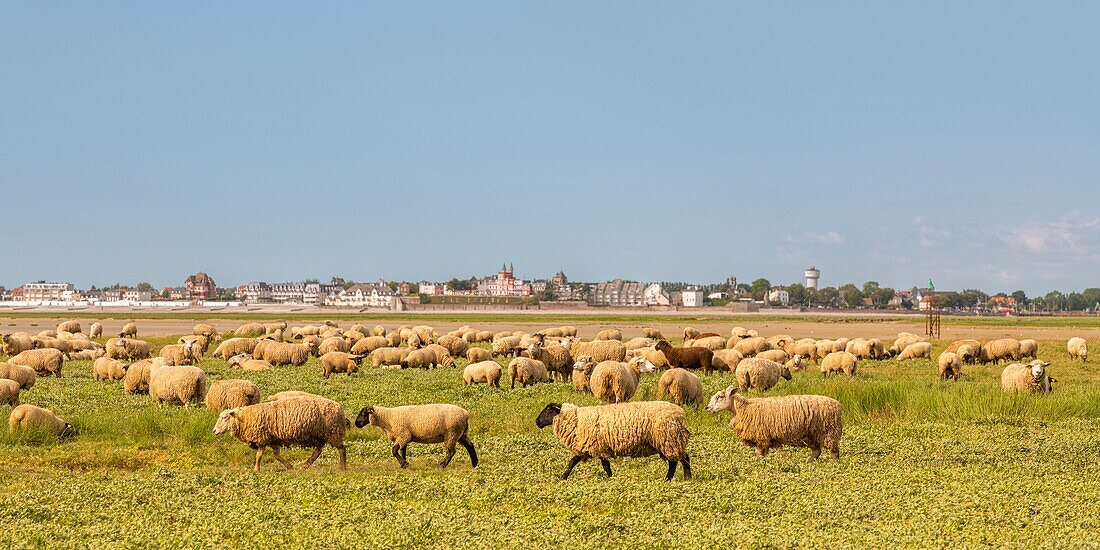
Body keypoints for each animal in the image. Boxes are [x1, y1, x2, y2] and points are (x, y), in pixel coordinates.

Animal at [214, 396, 347, 473]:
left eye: (224, 418)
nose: (214, 431)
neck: (246, 418)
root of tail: (339, 408)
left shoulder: (262, 438)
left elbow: (259, 456)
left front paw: (256, 470)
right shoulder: (273, 439)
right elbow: (276, 455)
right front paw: (289, 467)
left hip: (333, 433)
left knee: (342, 448)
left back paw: (342, 467)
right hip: (320, 436)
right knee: (318, 452)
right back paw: (304, 466)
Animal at [534, 400, 695, 481]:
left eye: (548, 410)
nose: (536, 421)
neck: (576, 420)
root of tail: (680, 413)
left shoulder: (596, 446)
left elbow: (603, 465)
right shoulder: (591, 447)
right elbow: (574, 462)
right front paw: (563, 477)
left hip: (669, 438)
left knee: (680, 460)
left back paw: (681, 479)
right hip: (670, 440)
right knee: (677, 460)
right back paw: (674, 479)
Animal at [704, 385, 840, 462]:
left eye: (720, 396)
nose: (707, 408)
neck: (743, 408)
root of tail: (837, 404)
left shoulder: (761, 437)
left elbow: (758, 454)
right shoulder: (764, 438)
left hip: (828, 432)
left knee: (834, 452)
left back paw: (834, 466)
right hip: (811, 435)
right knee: (817, 451)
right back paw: (808, 463)